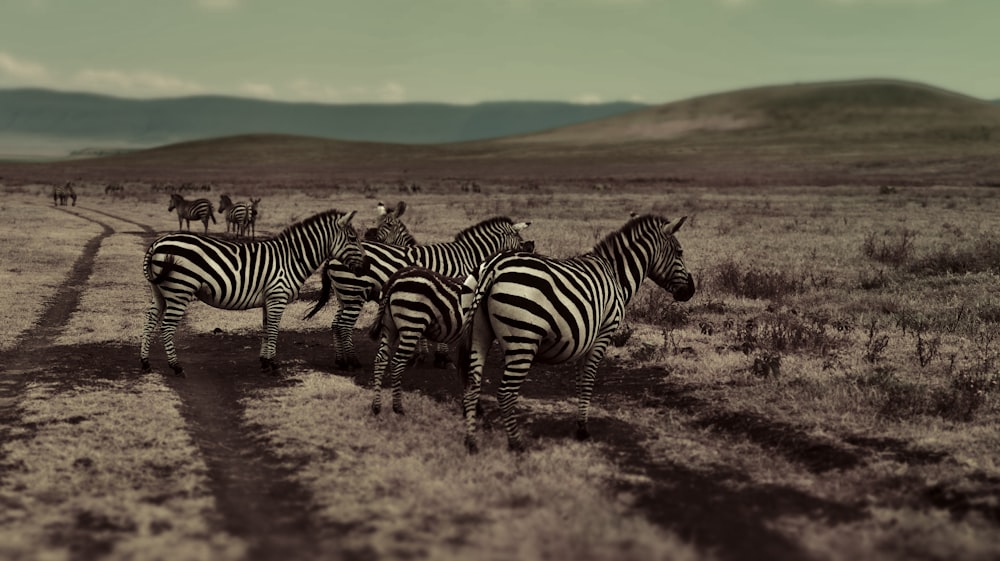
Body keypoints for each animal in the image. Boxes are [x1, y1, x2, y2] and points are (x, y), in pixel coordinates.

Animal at [140, 207, 368, 376]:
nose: (366, 268)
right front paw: (274, 364)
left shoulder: (269, 299)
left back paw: (145, 363)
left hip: (159, 292)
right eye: (352, 238)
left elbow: (266, 329)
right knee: (166, 327)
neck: (292, 258)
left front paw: (264, 362)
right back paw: (176, 367)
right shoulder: (277, 296)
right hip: (180, 290)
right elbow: (274, 329)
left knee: (149, 323)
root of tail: (157, 243)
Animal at [304, 217, 532, 370]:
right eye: (517, 236)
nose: (531, 247)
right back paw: (352, 362)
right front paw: (443, 358)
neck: (466, 257)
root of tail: (331, 257)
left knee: (335, 324)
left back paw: (340, 361)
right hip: (354, 293)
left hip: (343, 294)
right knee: (344, 326)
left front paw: (423, 356)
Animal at [460, 212, 696, 452]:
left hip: (478, 333)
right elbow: (588, 380)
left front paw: (578, 424)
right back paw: (517, 445)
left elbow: (579, 381)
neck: (616, 276)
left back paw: (471, 443)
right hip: (523, 339)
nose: (691, 291)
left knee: (471, 388)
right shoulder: (604, 332)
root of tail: (493, 267)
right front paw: (583, 430)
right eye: (680, 252)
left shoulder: (582, 336)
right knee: (506, 392)